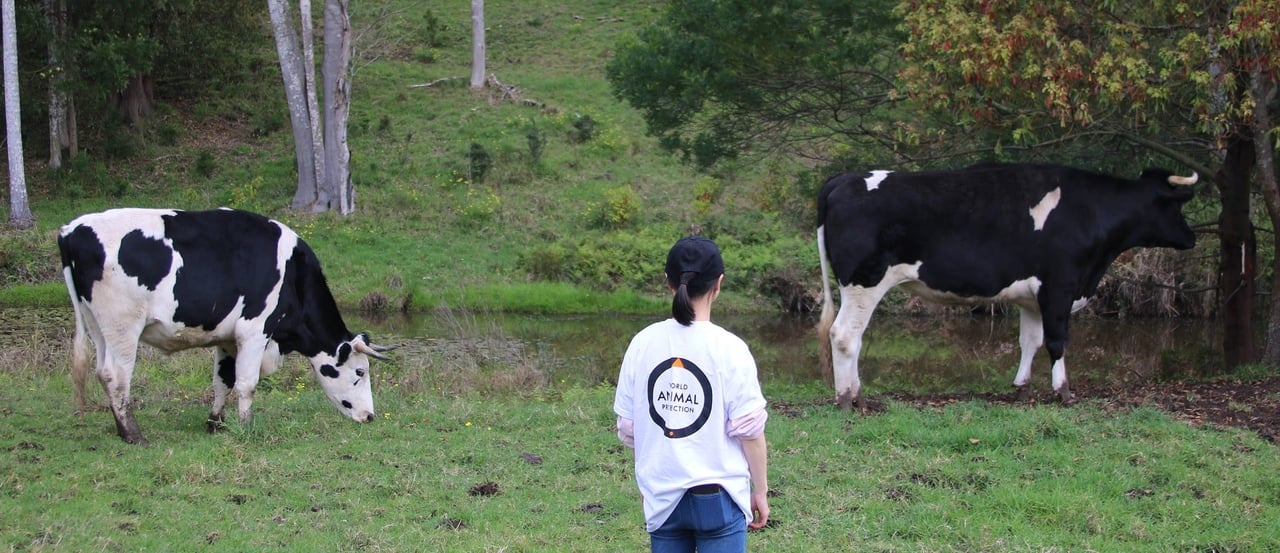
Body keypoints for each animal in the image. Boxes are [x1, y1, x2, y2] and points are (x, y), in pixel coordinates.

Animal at [60, 207, 389, 445]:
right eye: (361, 372)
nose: (370, 416)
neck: (293, 274)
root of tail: (71, 229)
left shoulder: (227, 338)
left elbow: (223, 379)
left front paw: (215, 423)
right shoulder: (255, 331)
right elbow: (246, 383)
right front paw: (247, 427)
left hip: (97, 326)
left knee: (102, 372)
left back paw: (121, 429)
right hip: (123, 326)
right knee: (116, 375)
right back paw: (133, 434)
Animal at [819, 163, 1198, 409]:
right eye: (1176, 207)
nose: (1193, 237)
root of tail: (844, 179)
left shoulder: (1032, 298)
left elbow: (1029, 341)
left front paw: (1022, 388)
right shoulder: (1059, 287)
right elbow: (1057, 341)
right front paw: (1063, 392)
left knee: (851, 336)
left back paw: (857, 395)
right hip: (864, 283)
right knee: (844, 335)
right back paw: (847, 399)